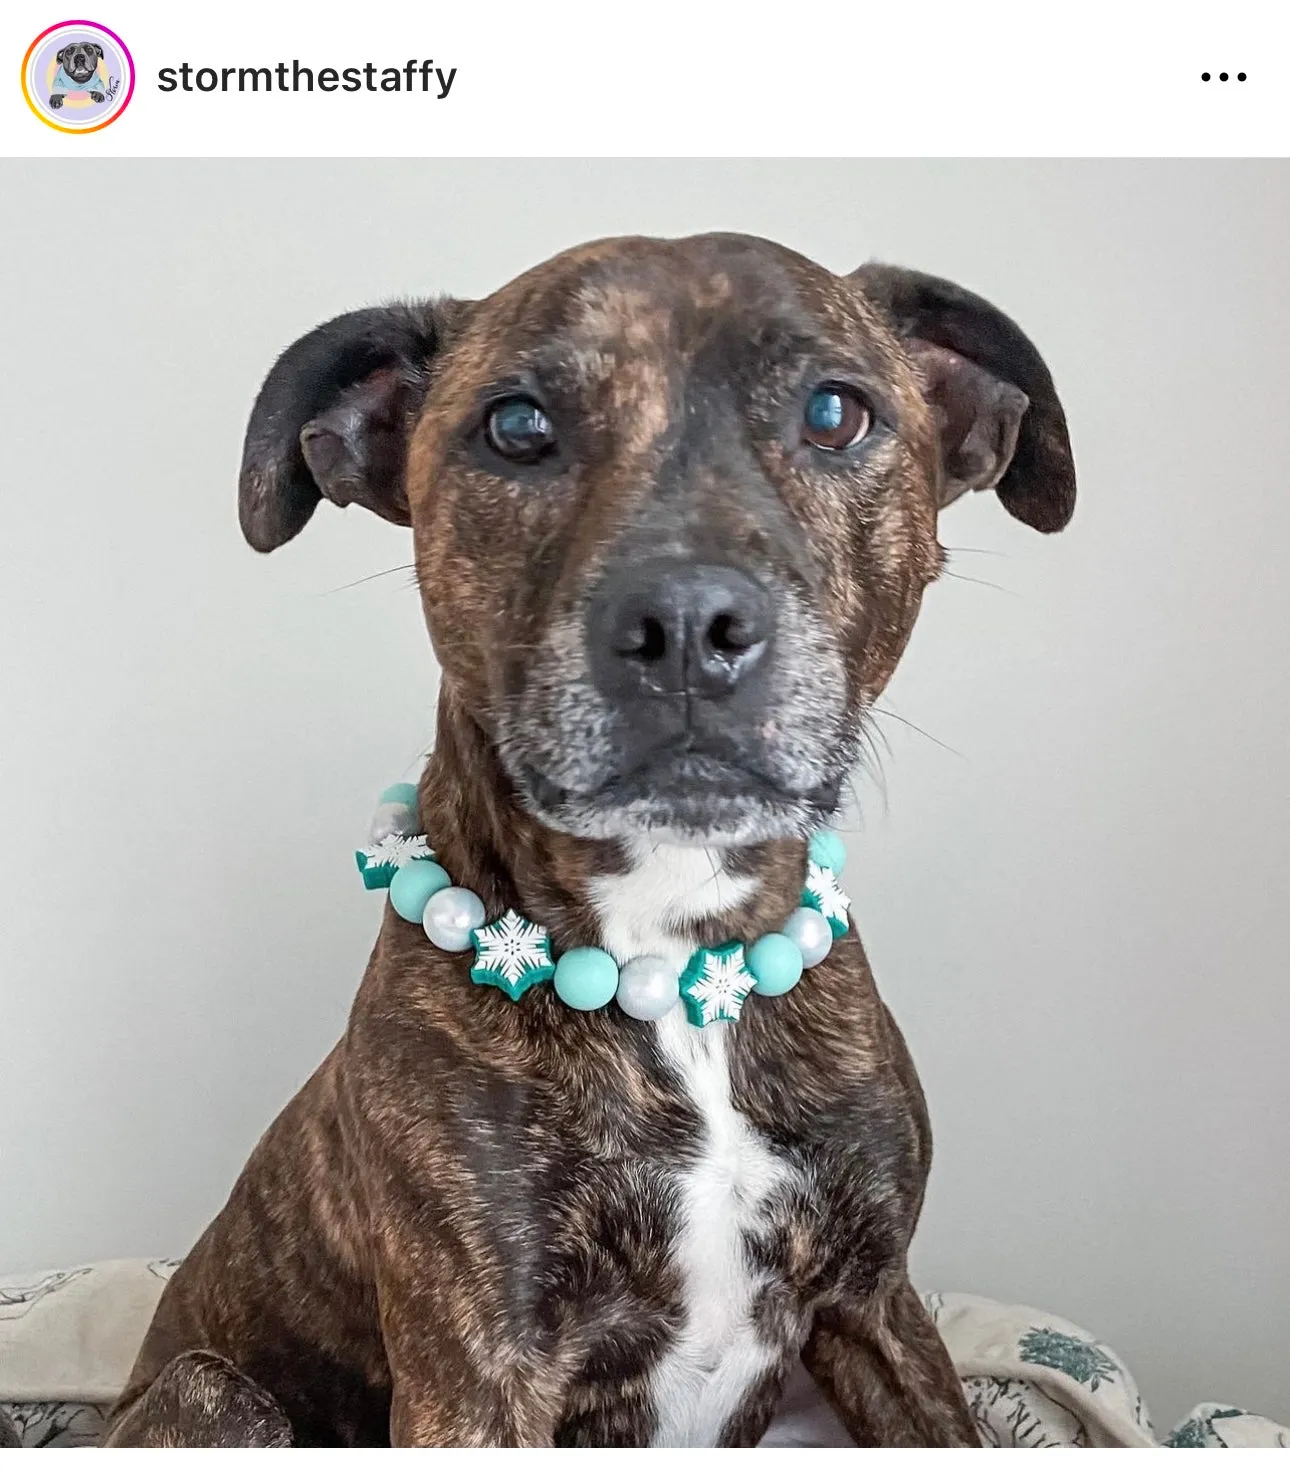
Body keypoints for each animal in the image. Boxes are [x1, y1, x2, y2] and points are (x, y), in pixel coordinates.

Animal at [103, 236, 1067, 1445]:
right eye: (517, 426)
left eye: (835, 411)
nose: (688, 624)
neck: (677, 953)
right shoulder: (473, 1374)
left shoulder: (876, 1301)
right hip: (211, 1386)